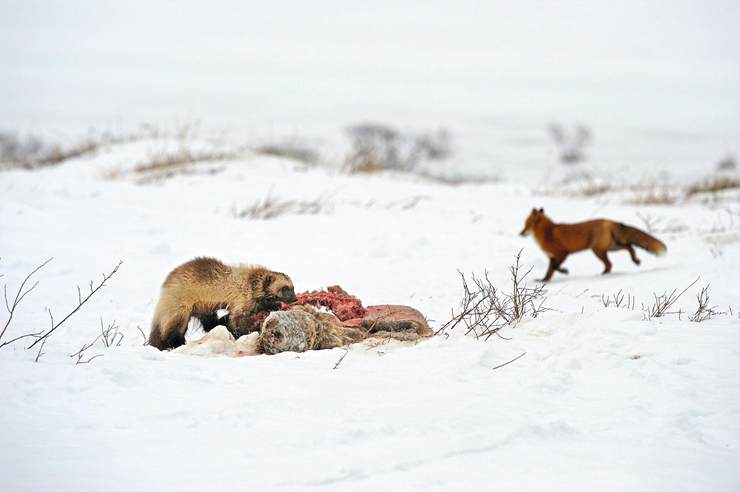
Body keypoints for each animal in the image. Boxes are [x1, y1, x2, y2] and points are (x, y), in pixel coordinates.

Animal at [520, 209, 664, 280]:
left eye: (526, 225)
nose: (520, 233)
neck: (547, 232)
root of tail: (608, 221)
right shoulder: (551, 256)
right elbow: (549, 271)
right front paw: (544, 281)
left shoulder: (562, 253)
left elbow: (555, 268)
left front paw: (565, 271)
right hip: (612, 247)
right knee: (629, 246)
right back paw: (635, 260)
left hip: (598, 251)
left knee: (610, 263)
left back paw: (604, 274)